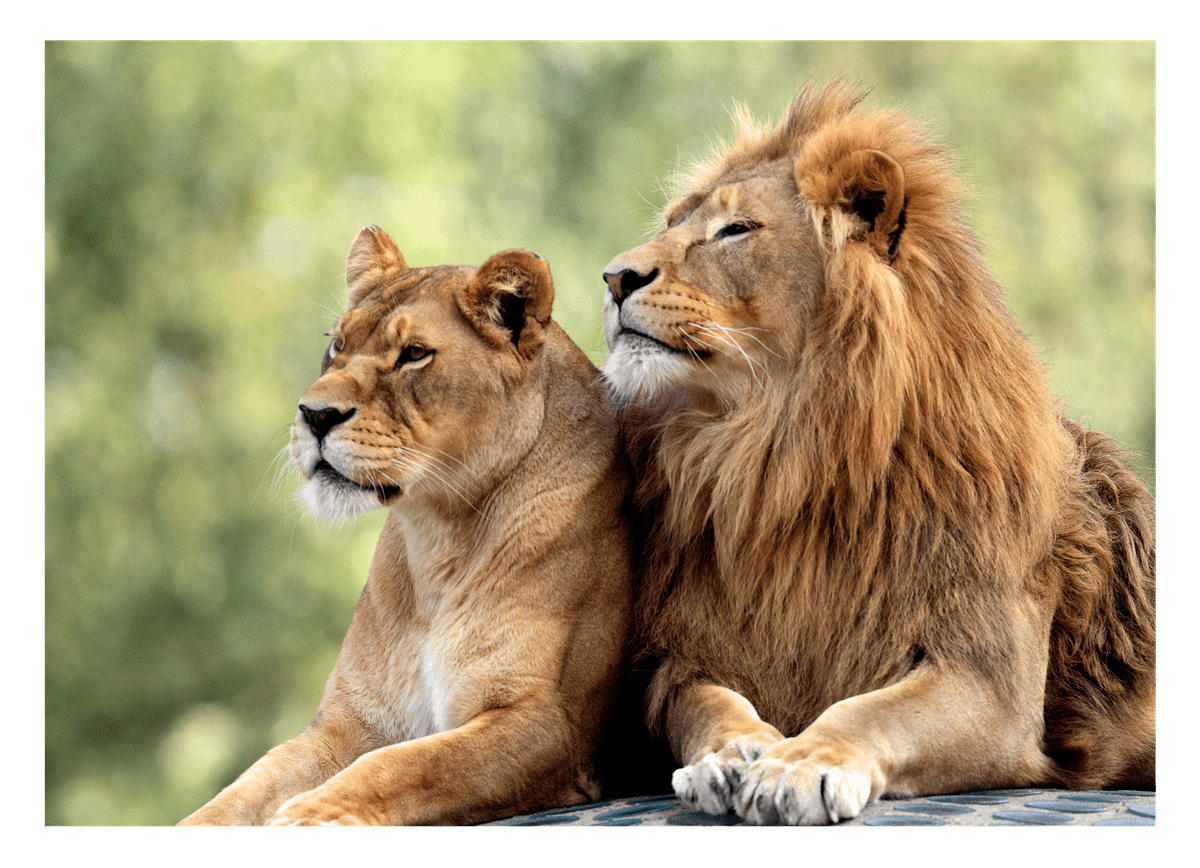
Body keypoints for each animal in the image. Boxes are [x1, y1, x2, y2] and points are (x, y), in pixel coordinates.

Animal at [178, 226, 633, 826]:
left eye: (414, 354)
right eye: (337, 345)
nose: (314, 414)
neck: (438, 540)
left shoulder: (549, 725)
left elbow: (406, 765)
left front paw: (310, 813)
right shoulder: (350, 721)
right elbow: (251, 782)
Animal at [600, 84, 1156, 826]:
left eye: (735, 230)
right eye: (670, 222)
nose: (612, 278)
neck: (779, 456)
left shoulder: (989, 678)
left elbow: (867, 711)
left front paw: (800, 765)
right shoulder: (685, 657)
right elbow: (709, 706)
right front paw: (733, 753)